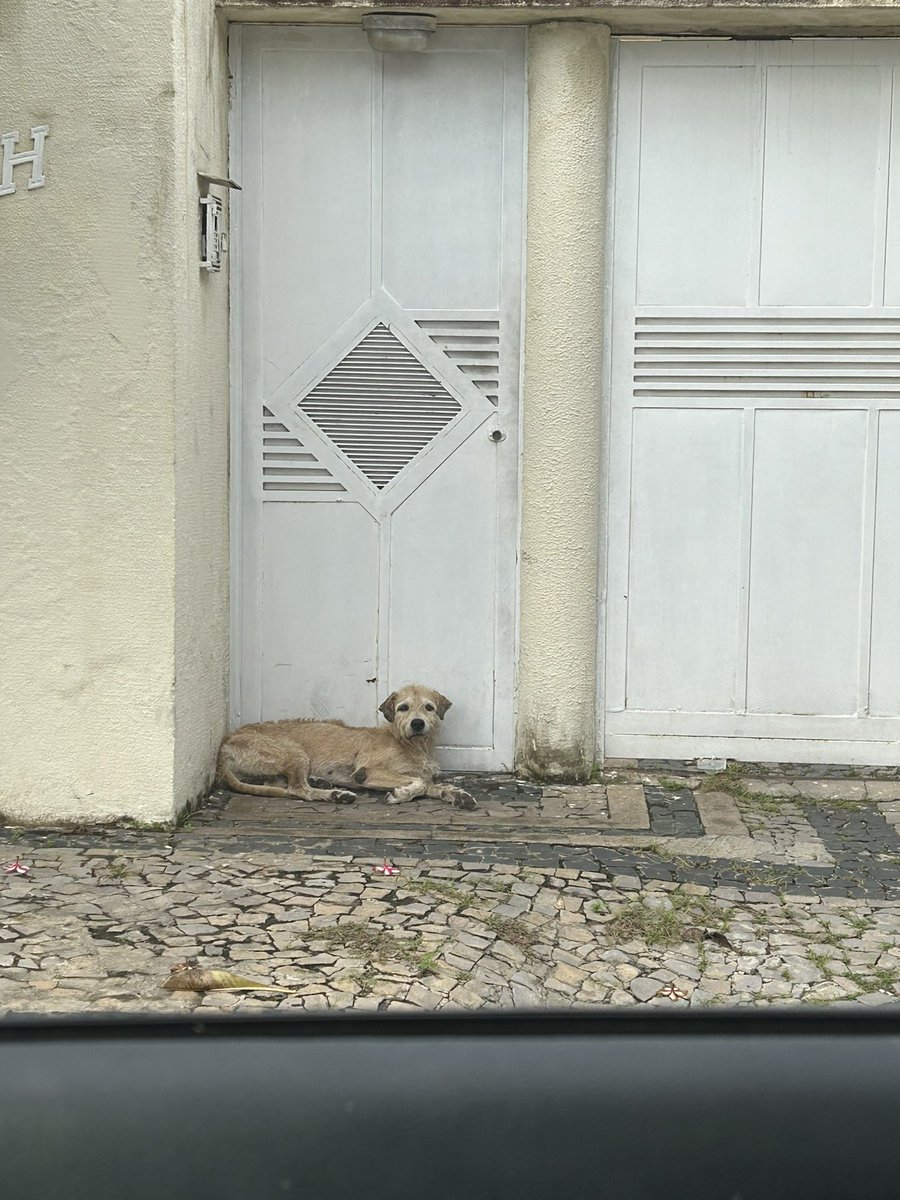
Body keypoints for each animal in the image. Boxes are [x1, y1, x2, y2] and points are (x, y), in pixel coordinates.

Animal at [216, 681, 480, 811]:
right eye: (403, 707)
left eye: (429, 707)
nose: (417, 723)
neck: (409, 744)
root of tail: (225, 744)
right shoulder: (367, 772)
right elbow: (420, 783)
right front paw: (401, 794)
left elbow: (430, 784)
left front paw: (457, 795)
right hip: (292, 752)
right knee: (298, 790)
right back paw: (336, 794)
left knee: (279, 784)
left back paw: (322, 783)